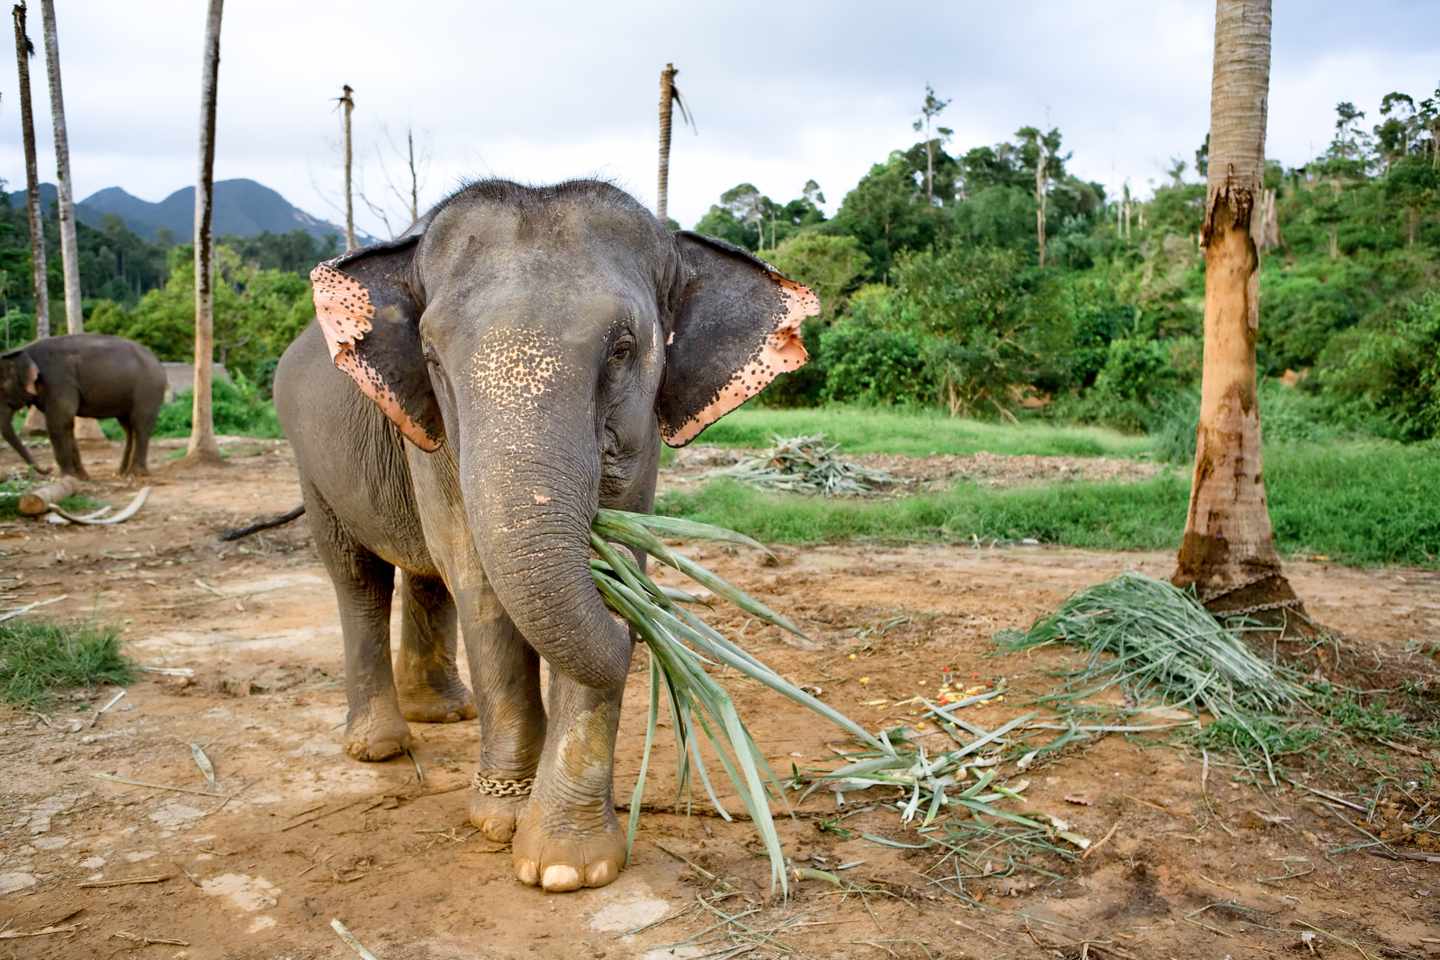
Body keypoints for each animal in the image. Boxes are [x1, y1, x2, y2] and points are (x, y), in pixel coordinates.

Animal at [0, 334, 166, 479]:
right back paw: (121, 473)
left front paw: (66, 476)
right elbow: (67, 424)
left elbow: (58, 423)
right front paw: (82, 477)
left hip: (149, 389)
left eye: (1, 388)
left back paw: (136, 474)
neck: (22, 350)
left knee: (140, 424)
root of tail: (157, 361)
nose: (48, 469)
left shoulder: (58, 381)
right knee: (128, 428)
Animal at [273, 178, 815, 893]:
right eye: (431, 357)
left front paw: (566, 865)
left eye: (623, 349)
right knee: (358, 576)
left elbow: (609, 557)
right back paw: (381, 746)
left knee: (423, 576)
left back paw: (442, 713)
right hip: (310, 463)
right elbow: (478, 580)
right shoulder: (432, 435)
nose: (647, 629)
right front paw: (499, 821)